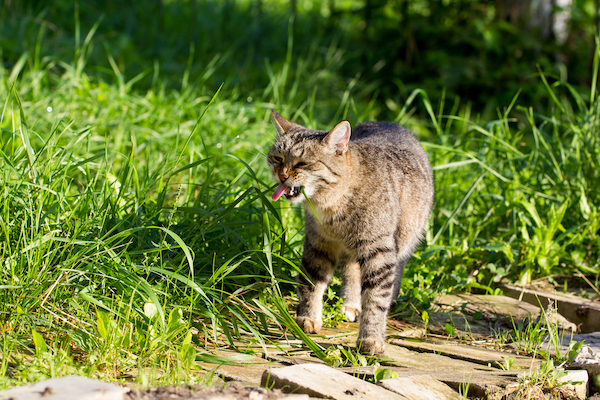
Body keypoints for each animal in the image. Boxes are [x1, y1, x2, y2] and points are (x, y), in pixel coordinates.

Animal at [266, 109, 432, 354]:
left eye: (302, 164)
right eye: (278, 158)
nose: (282, 175)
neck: (332, 206)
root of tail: (388, 122)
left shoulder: (380, 252)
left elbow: (375, 298)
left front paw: (371, 338)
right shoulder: (319, 244)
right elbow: (311, 283)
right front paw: (308, 318)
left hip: (402, 241)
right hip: (352, 252)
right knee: (352, 272)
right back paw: (351, 304)